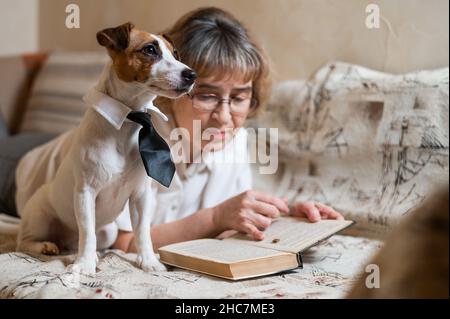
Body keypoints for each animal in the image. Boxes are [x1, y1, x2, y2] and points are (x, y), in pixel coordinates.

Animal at [16, 23, 195, 276]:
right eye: (150, 50)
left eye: (175, 53)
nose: (192, 75)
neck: (129, 121)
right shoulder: (86, 193)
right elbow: (87, 232)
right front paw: (84, 265)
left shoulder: (140, 196)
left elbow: (142, 233)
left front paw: (149, 261)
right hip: (39, 217)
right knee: (26, 241)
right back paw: (47, 247)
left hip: (108, 231)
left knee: (81, 242)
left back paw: (90, 254)